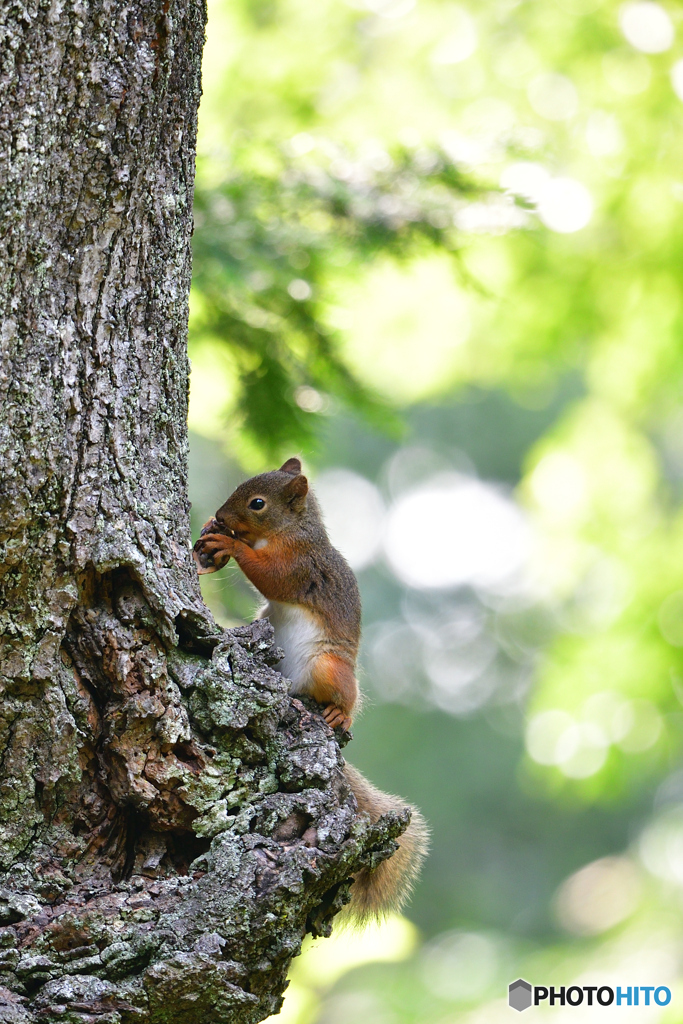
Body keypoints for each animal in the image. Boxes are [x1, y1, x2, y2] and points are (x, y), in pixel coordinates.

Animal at [192, 456, 428, 921]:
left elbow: (271, 577)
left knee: (346, 697)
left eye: (257, 503)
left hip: (328, 667)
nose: (222, 516)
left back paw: (340, 713)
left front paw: (230, 546)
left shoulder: (300, 566)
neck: (290, 531)